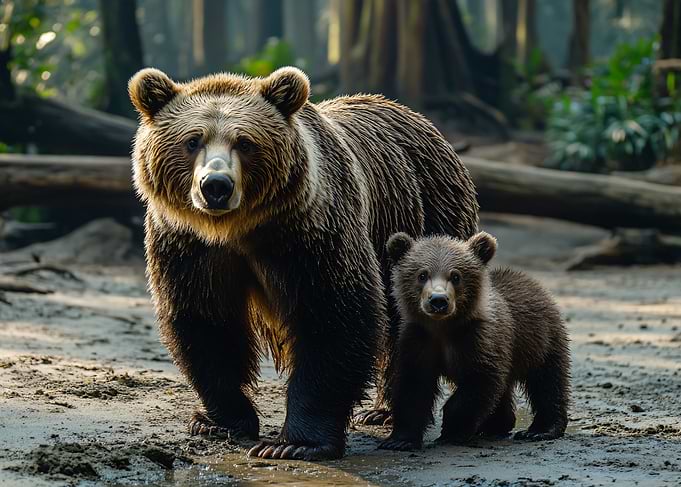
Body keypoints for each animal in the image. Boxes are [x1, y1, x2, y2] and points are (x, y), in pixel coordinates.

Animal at [128, 66, 479, 460]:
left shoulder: (310, 235)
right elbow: (205, 321)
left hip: (425, 221)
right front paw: (218, 421)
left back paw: (391, 412)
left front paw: (293, 443)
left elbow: (333, 316)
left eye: (245, 142)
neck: (237, 230)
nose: (215, 186)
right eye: (192, 140)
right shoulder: (190, 247)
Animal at [379, 231, 570, 451]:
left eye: (455, 276)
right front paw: (399, 440)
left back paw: (539, 430)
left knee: (547, 382)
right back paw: (495, 425)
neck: (443, 328)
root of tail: (533, 282)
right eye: (422, 274)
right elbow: (413, 387)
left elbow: (478, 383)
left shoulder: (479, 341)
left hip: (540, 340)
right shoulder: (418, 341)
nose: (438, 300)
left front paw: (452, 432)